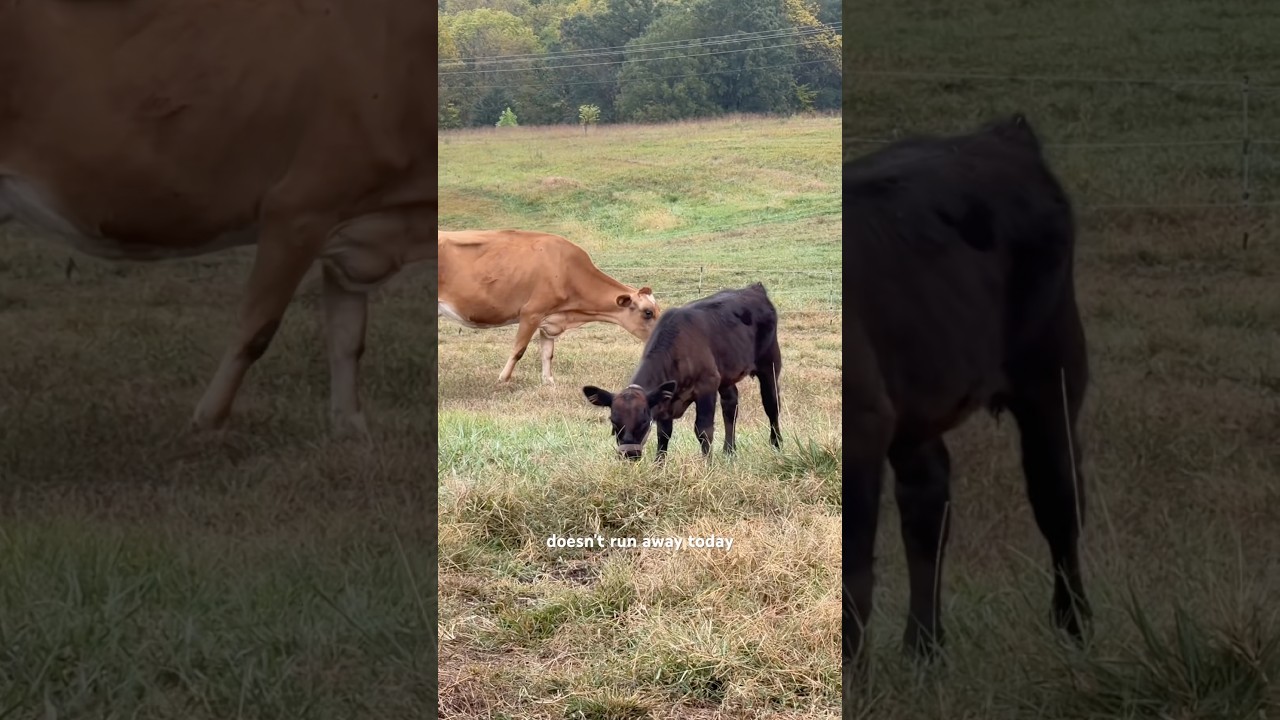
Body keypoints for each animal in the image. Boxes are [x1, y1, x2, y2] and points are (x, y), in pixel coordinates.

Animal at [0, 1, 437, 438]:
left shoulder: (353, 231)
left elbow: (348, 339)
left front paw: (351, 429)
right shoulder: (297, 209)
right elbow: (257, 327)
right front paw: (208, 420)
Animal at [438, 229, 660, 384]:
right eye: (648, 312)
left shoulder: (550, 319)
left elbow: (547, 352)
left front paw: (548, 381)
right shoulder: (531, 312)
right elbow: (519, 349)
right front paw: (503, 379)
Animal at [581, 282, 782, 461]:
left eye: (644, 421)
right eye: (614, 422)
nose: (629, 454)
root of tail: (754, 288)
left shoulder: (707, 385)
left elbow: (703, 430)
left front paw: (707, 466)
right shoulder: (665, 400)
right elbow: (663, 435)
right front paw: (658, 466)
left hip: (770, 363)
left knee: (771, 405)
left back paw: (777, 446)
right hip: (726, 375)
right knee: (730, 406)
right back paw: (729, 452)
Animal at [842, 114, 1091, 687]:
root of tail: (1000, 135)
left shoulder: (862, 422)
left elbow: (853, 573)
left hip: (1053, 367)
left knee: (1058, 496)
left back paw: (1076, 629)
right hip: (916, 395)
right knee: (928, 502)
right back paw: (924, 650)